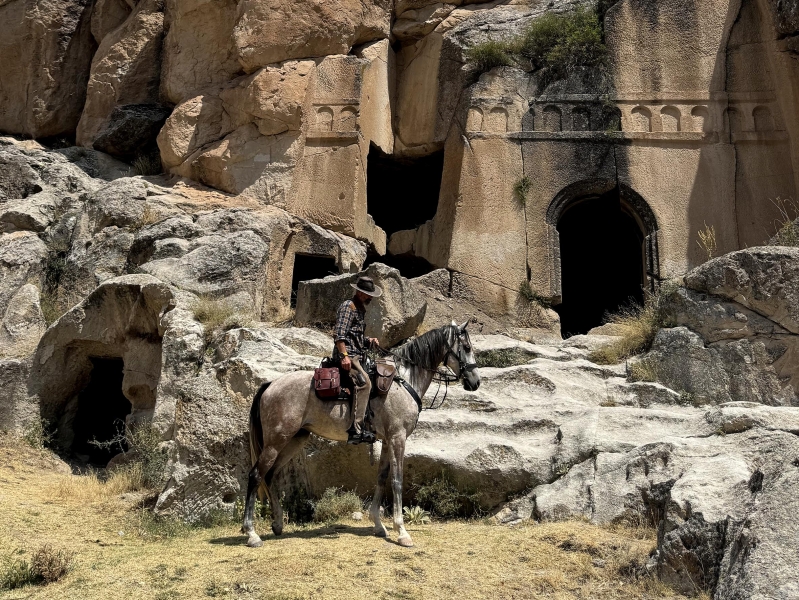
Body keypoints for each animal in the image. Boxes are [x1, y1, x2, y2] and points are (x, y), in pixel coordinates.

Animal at [241, 324, 482, 548]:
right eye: (467, 347)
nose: (476, 382)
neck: (404, 381)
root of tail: (270, 384)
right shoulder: (398, 437)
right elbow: (397, 480)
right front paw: (402, 532)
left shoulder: (386, 440)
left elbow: (381, 478)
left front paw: (378, 524)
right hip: (277, 441)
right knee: (255, 475)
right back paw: (251, 533)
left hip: (294, 440)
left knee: (270, 475)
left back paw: (278, 524)